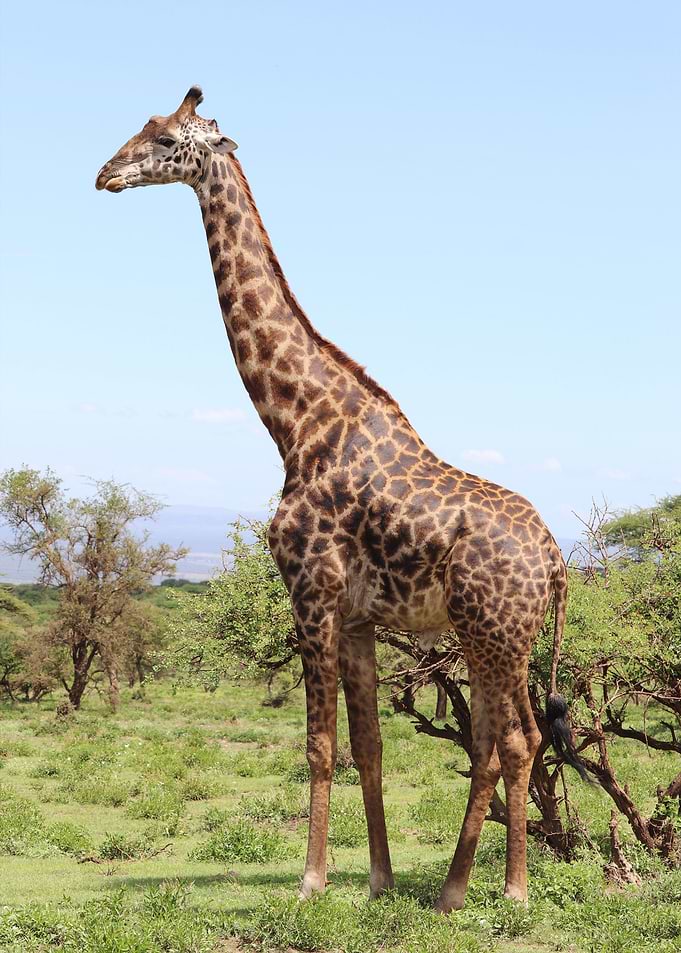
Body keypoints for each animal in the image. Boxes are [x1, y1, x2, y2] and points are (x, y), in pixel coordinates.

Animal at [96, 87, 584, 910]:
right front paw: (379, 879)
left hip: (496, 633)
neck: (295, 423)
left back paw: (511, 889)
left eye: (162, 138)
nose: (104, 174)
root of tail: (554, 561)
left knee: (516, 739)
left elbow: (318, 746)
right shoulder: (356, 616)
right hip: (486, 635)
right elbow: (369, 744)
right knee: (494, 740)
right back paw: (451, 888)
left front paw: (311, 880)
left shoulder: (311, 594)